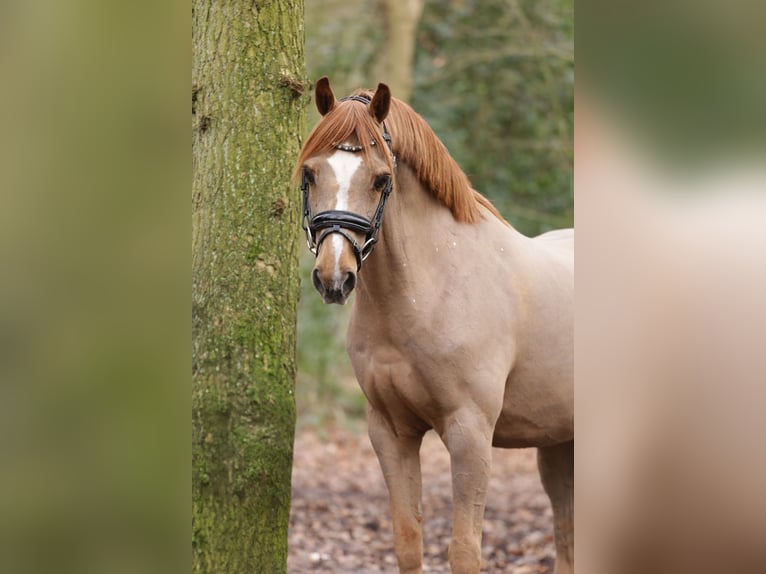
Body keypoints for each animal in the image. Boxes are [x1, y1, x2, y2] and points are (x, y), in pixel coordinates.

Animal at [296, 77, 572, 574]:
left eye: (381, 179)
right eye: (310, 174)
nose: (334, 278)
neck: (430, 288)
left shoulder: (470, 433)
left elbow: (464, 550)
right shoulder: (391, 432)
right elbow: (408, 541)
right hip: (559, 442)